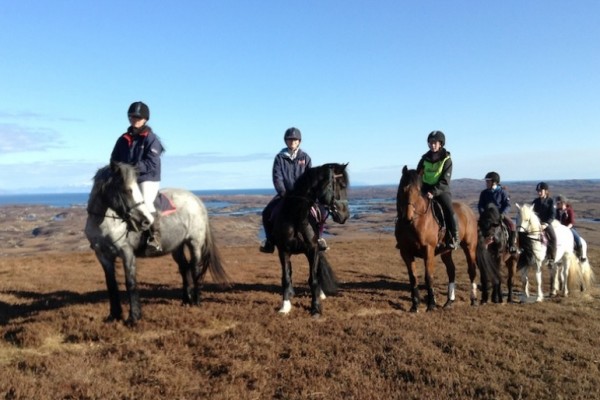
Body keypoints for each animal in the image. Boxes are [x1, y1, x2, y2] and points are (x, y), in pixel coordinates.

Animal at [270, 162, 350, 316]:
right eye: (342, 185)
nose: (345, 216)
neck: (296, 217)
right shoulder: (283, 251)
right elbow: (286, 278)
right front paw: (285, 306)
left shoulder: (312, 250)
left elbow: (313, 279)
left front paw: (316, 308)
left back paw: (321, 294)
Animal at [396, 166, 480, 312]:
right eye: (402, 189)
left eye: (418, 191)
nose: (407, 218)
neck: (415, 222)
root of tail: (468, 210)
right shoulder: (405, 252)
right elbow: (413, 278)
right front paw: (415, 305)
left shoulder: (428, 250)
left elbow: (428, 277)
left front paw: (431, 304)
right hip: (446, 251)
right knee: (451, 271)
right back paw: (449, 301)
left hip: (470, 247)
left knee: (472, 270)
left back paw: (473, 299)